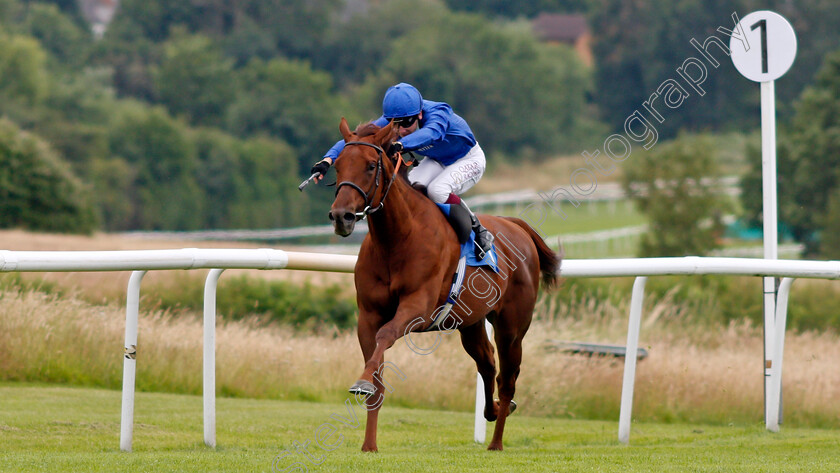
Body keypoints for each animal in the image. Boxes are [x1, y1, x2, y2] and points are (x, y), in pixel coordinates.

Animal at [326, 118, 556, 450]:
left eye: (370, 166)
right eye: (338, 166)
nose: (340, 216)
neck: (397, 238)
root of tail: (517, 226)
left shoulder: (417, 308)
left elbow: (386, 335)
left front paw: (362, 384)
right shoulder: (368, 315)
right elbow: (376, 377)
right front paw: (369, 443)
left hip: (512, 327)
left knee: (508, 378)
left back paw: (496, 441)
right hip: (470, 323)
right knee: (487, 363)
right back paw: (494, 410)